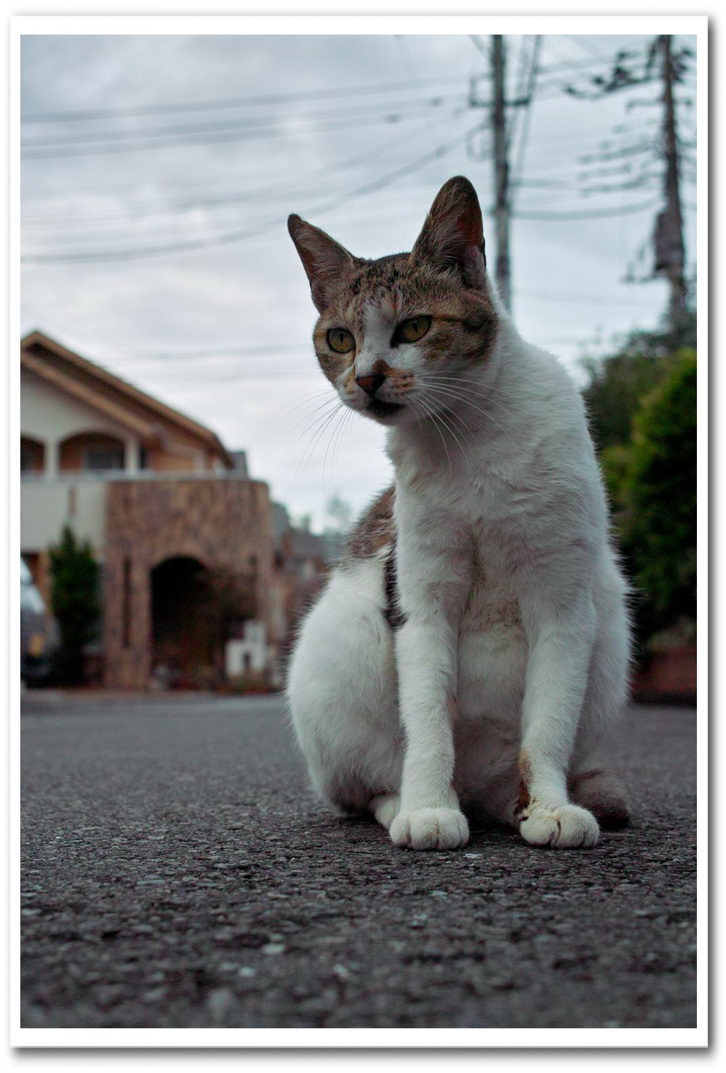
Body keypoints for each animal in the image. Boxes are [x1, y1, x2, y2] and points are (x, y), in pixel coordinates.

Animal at [285, 175, 630, 849]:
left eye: (415, 328)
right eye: (340, 339)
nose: (367, 377)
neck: (468, 437)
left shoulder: (564, 600)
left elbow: (547, 727)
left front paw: (549, 807)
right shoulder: (422, 598)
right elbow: (425, 719)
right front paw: (426, 808)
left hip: (608, 626)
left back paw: (518, 804)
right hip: (340, 648)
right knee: (361, 790)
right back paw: (407, 802)